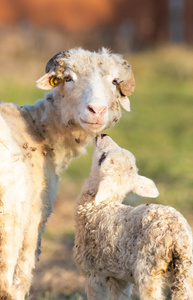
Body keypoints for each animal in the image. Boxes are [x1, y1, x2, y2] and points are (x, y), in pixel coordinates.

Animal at [0, 48, 135, 300]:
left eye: (114, 81)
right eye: (68, 78)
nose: (97, 111)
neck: (37, 128)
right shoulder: (34, 217)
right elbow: (21, 279)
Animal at [74, 135, 193, 298]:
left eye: (102, 157)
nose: (103, 135)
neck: (98, 207)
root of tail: (177, 236)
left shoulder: (93, 272)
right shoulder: (120, 277)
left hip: (148, 267)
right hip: (186, 268)